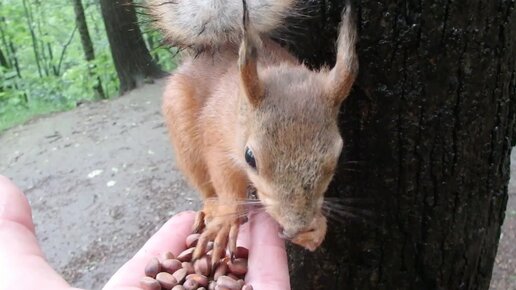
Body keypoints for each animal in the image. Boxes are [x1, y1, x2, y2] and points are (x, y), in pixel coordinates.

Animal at [148, 0, 358, 262]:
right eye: (250, 157)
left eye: (337, 156)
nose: (296, 226)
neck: (240, 107)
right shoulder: (218, 143)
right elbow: (226, 183)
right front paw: (227, 220)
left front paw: (315, 228)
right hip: (184, 137)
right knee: (203, 184)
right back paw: (212, 207)